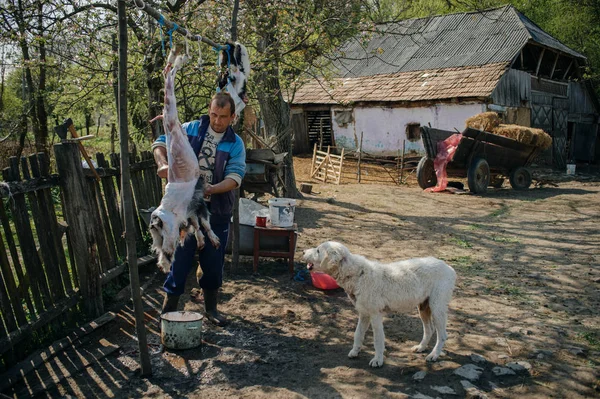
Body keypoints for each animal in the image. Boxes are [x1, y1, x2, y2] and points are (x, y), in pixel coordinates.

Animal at [304, 241, 454, 368]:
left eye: (318, 250)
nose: (303, 251)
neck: (358, 275)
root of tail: (449, 267)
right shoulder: (363, 314)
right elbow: (358, 334)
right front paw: (355, 351)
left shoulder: (375, 315)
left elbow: (378, 340)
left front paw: (378, 360)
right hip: (423, 307)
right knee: (429, 329)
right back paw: (421, 347)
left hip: (437, 308)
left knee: (443, 335)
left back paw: (434, 355)